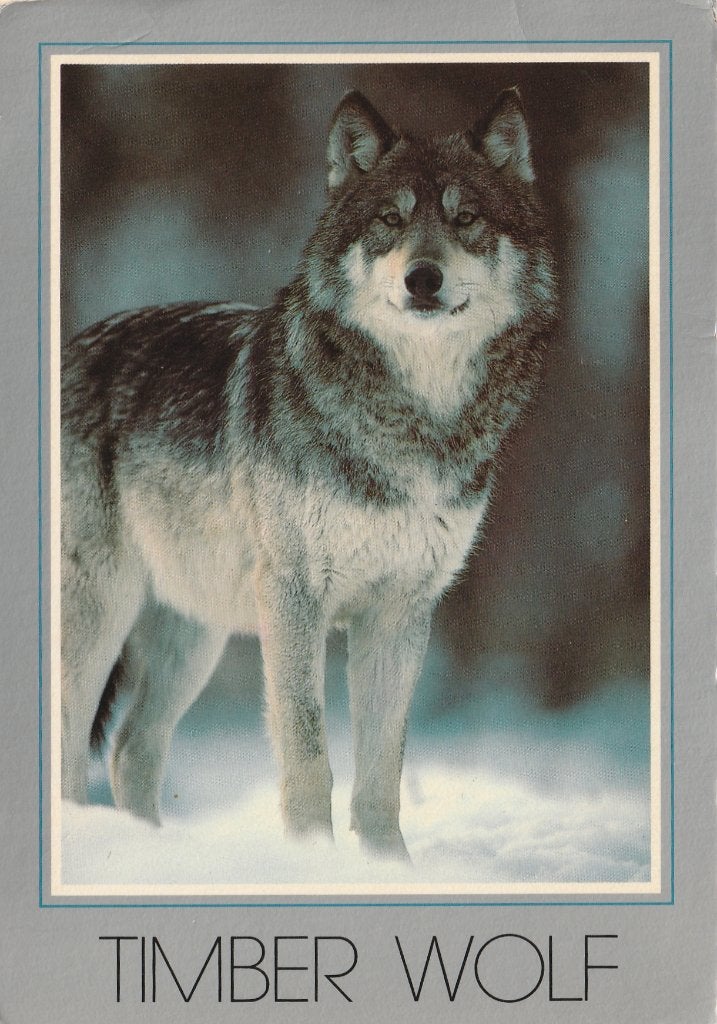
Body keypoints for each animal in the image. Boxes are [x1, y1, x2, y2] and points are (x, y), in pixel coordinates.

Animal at [61, 88, 556, 859]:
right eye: (389, 220)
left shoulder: (400, 611)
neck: (413, 424)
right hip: (100, 615)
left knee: (130, 751)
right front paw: (312, 860)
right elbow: (308, 753)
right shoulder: (294, 600)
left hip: (191, 634)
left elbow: (381, 770)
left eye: (464, 217)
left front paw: (388, 869)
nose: (422, 278)